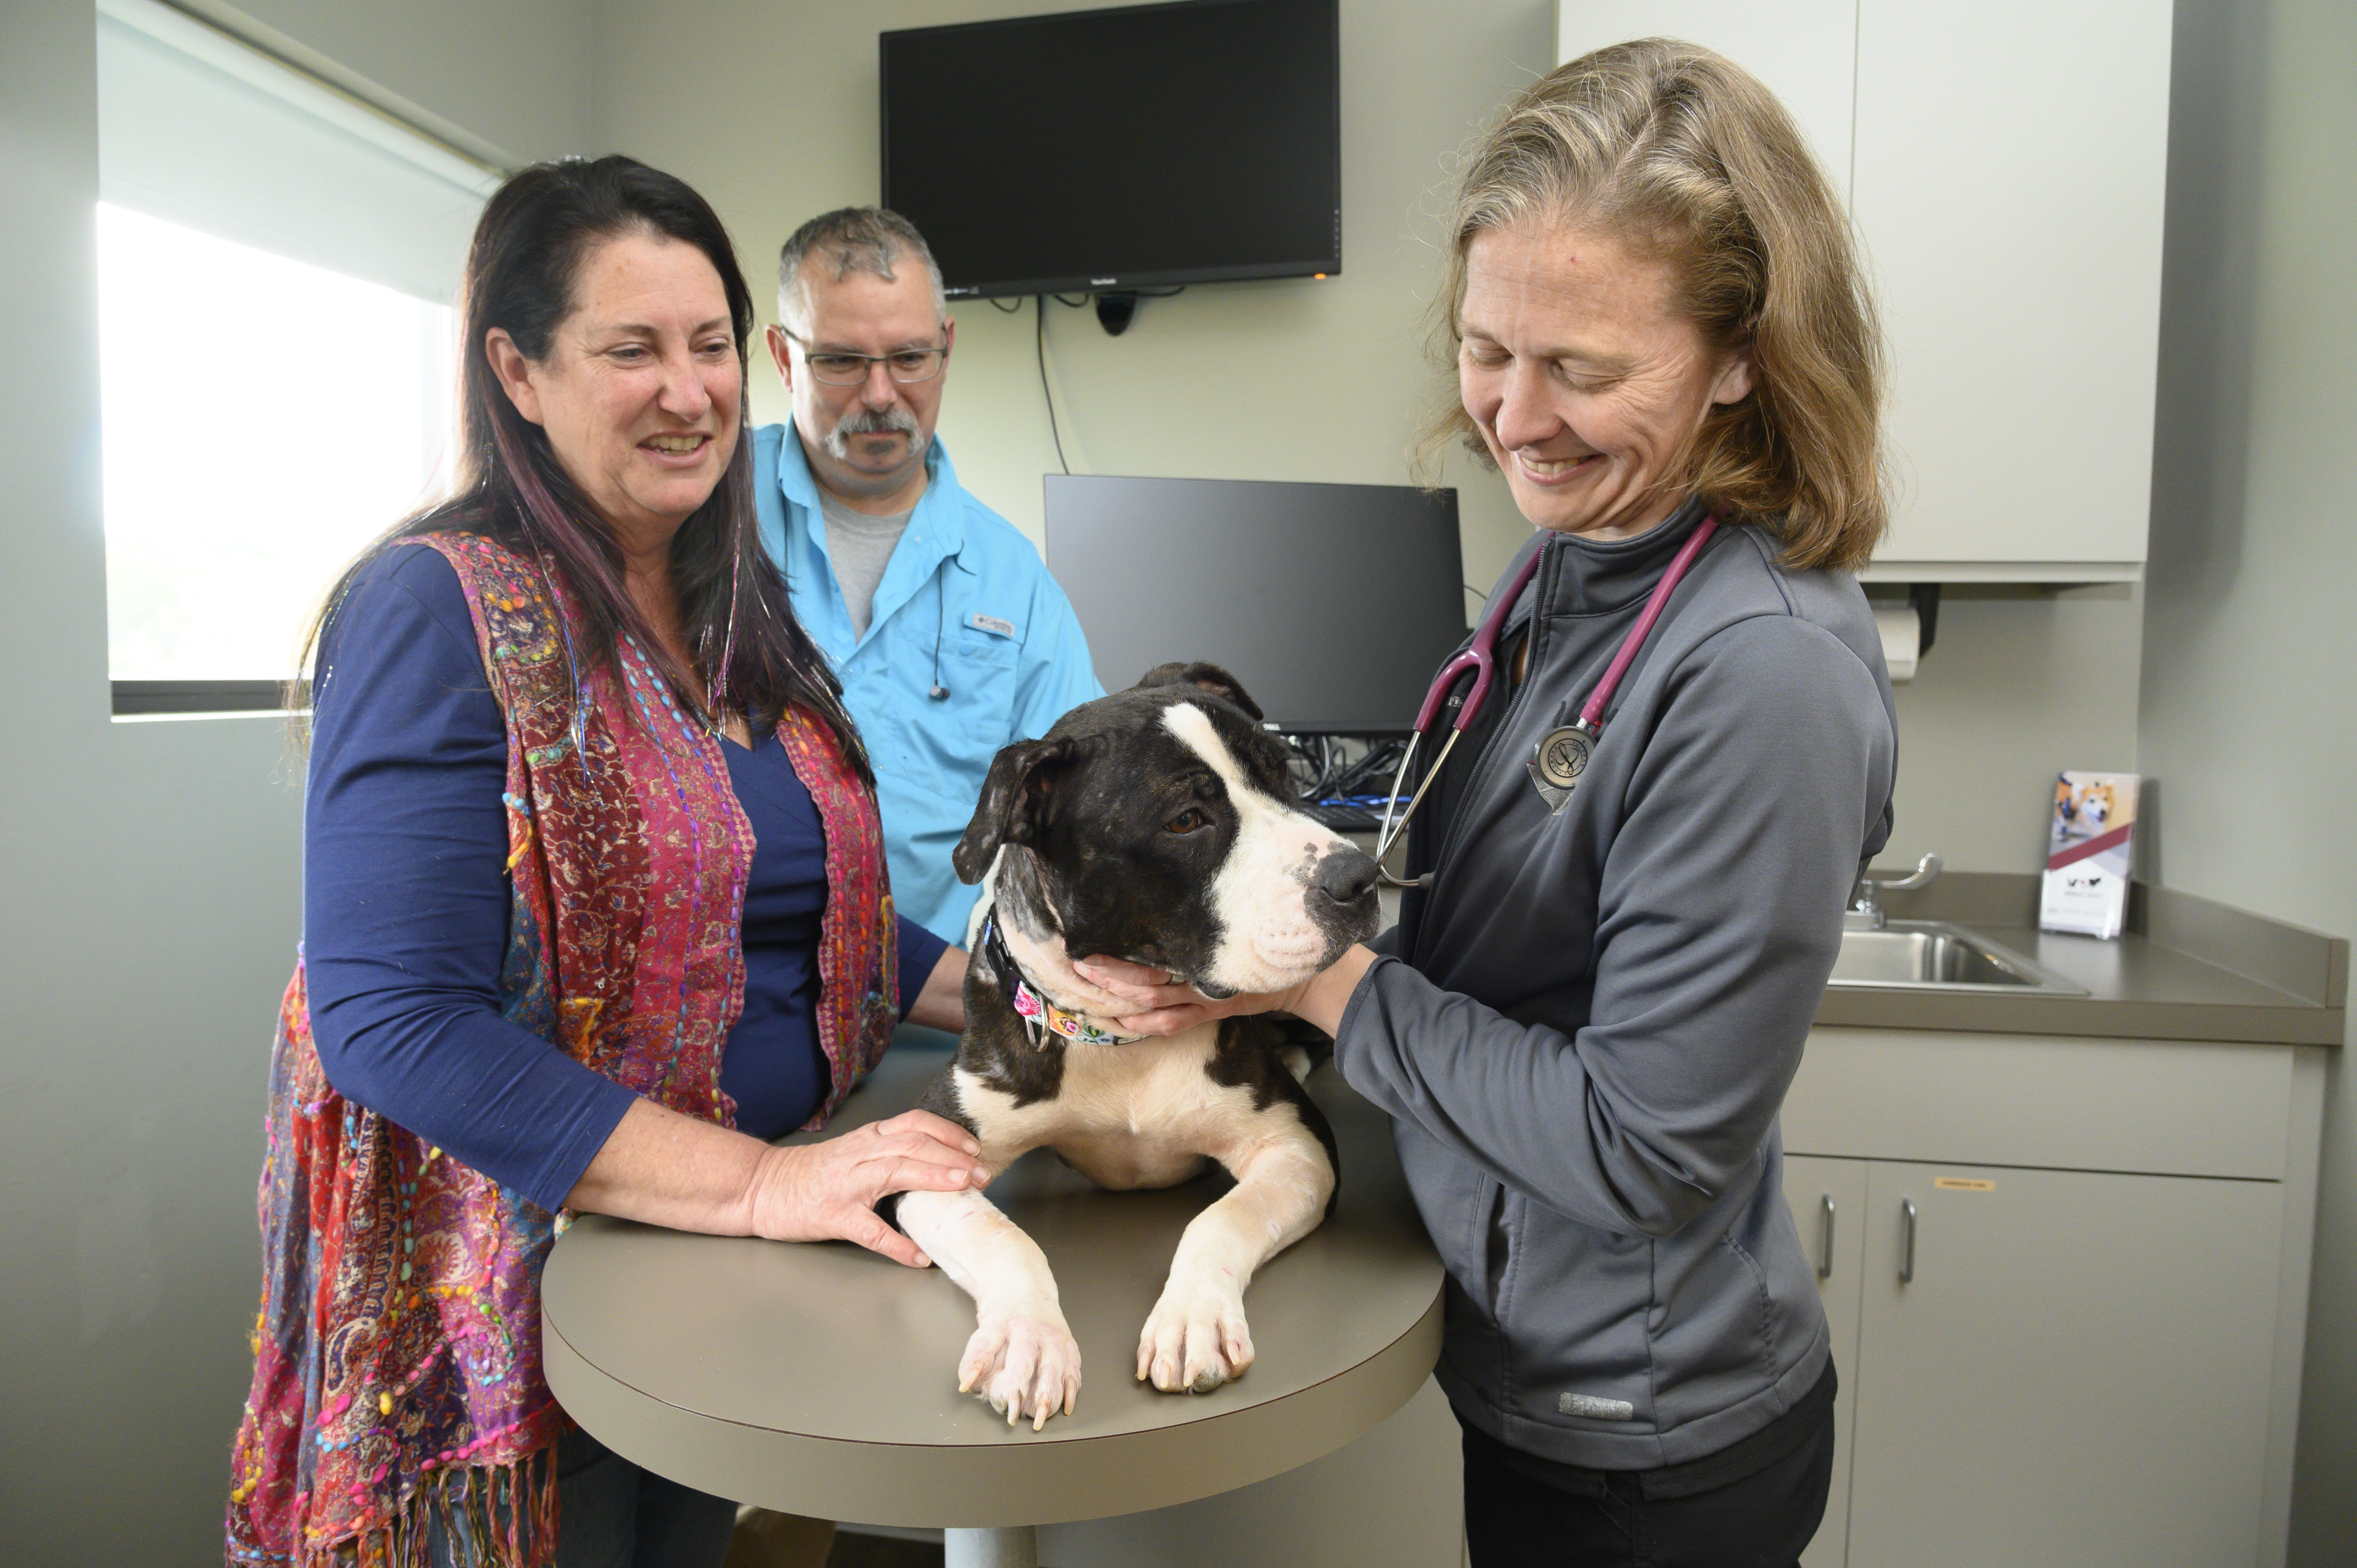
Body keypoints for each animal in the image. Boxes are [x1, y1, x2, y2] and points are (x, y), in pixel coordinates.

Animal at [896, 660, 1376, 1434]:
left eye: (1281, 772)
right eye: (1185, 821)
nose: (1358, 876)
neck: (1120, 1038)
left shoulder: (1298, 1149)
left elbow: (1219, 1219)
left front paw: (1192, 1319)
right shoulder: (927, 1161)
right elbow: (1006, 1239)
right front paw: (1028, 1340)